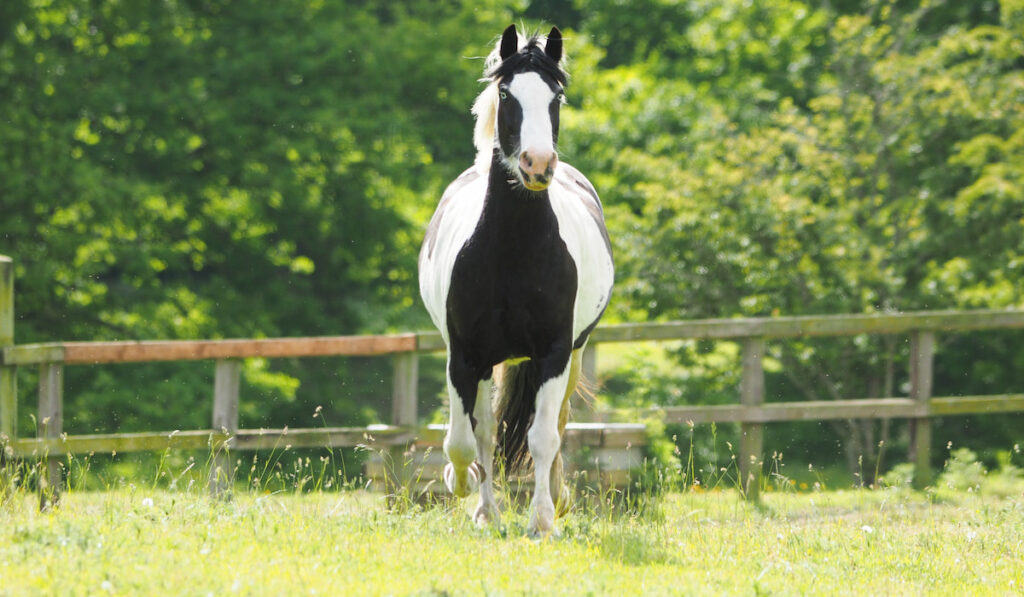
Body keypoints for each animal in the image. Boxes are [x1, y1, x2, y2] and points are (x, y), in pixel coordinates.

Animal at [417, 24, 610, 536]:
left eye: (556, 96)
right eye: (506, 93)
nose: (537, 164)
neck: (511, 253)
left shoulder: (554, 353)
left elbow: (542, 437)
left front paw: (542, 520)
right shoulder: (464, 356)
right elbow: (464, 441)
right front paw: (462, 482)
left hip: (573, 355)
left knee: (557, 424)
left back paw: (555, 499)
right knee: (483, 432)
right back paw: (486, 510)